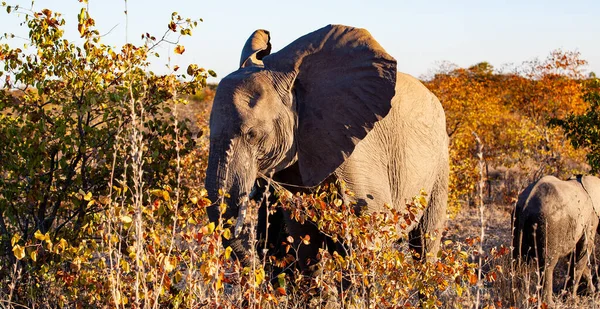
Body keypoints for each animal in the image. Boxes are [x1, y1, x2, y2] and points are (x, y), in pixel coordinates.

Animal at [204, 24, 448, 272]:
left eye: (252, 134)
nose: (257, 264)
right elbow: (305, 238)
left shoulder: (355, 150)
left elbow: (367, 229)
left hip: (440, 161)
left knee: (426, 239)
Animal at [510, 174, 600, 304]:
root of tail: (525, 206)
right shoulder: (590, 220)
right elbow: (583, 252)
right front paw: (573, 300)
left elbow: (574, 253)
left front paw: (590, 293)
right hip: (548, 224)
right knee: (547, 264)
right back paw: (548, 304)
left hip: (516, 221)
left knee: (517, 261)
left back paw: (516, 300)